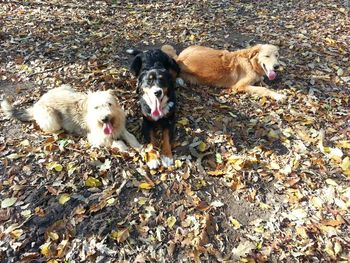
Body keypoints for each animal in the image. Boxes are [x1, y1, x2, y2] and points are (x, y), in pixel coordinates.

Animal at [1, 84, 141, 151]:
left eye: (109, 104)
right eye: (96, 107)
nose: (104, 118)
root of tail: (37, 104)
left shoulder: (120, 127)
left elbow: (129, 135)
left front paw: (137, 145)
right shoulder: (95, 137)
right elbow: (114, 141)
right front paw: (123, 147)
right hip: (51, 119)